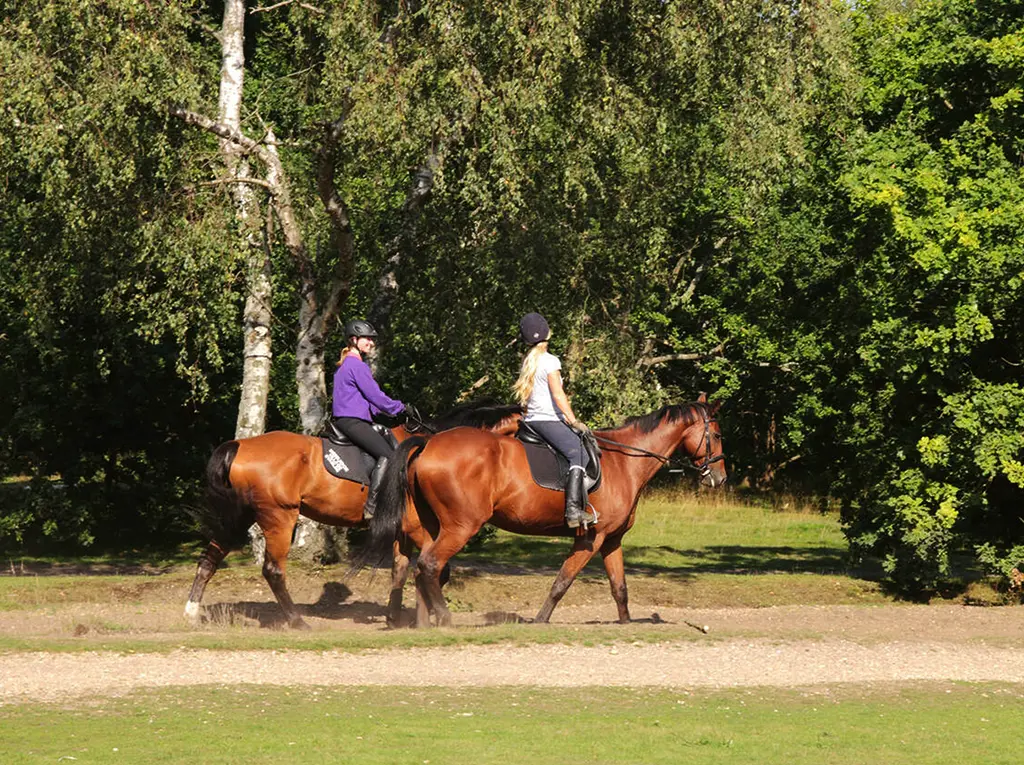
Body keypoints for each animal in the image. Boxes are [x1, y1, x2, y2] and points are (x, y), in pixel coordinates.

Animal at [183, 401, 520, 626]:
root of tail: (240, 445)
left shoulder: (403, 530)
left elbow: (400, 568)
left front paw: (395, 616)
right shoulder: (417, 527)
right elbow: (434, 567)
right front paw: (429, 615)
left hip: (239, 516)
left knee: (210, 558)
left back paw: (192, 611)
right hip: (279, 518)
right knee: (273, 570)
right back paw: (297, 621)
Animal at [370, 395, 729, 626]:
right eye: (717, 434)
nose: (720, 477)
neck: (625, 462)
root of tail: (429, 443)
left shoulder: (612, 540)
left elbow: (620, 588)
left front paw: (626, 625)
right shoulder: (591, 539)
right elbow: (562, 582)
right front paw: (541, 620)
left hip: (435, 526)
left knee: (422, 567)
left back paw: (423, 623)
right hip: (461, 526)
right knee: (430, 565)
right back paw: (444, 618)